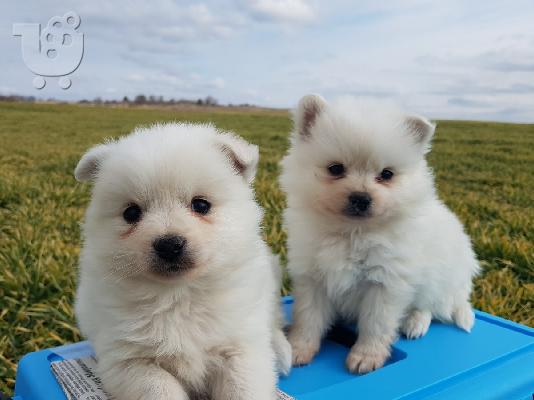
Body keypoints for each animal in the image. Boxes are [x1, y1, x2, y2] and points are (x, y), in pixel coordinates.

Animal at [74, 122, 292, 400]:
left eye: (201, 205)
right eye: (131, 213)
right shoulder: (130, 362)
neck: (179, 296)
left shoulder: (239, 348)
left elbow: (243, 388)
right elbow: (159, 390)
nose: (169, 244)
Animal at [280, 94, 482, 376]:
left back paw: (414, 323)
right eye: (335, 169)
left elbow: (376, 324)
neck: (352, 232)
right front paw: (299, 348)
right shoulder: (313, 278)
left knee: (429, 307)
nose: (361, 198)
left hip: (438, 280)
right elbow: (308, 317)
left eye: (386, 174)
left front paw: (366, 357)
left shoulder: (385, 282)